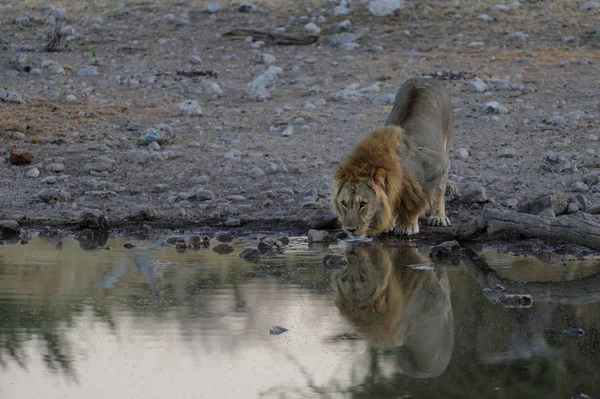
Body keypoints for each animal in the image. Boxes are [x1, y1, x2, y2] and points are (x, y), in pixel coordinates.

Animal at [330, 78, 452, 238]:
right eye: (344, 203)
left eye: (363, 204)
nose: (350, 229)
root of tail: (424, 78)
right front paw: (389, 224)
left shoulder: (436, 164)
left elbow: (416, 203)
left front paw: (406, 225)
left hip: (446, 146)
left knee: (440, 190)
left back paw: (438, 217)